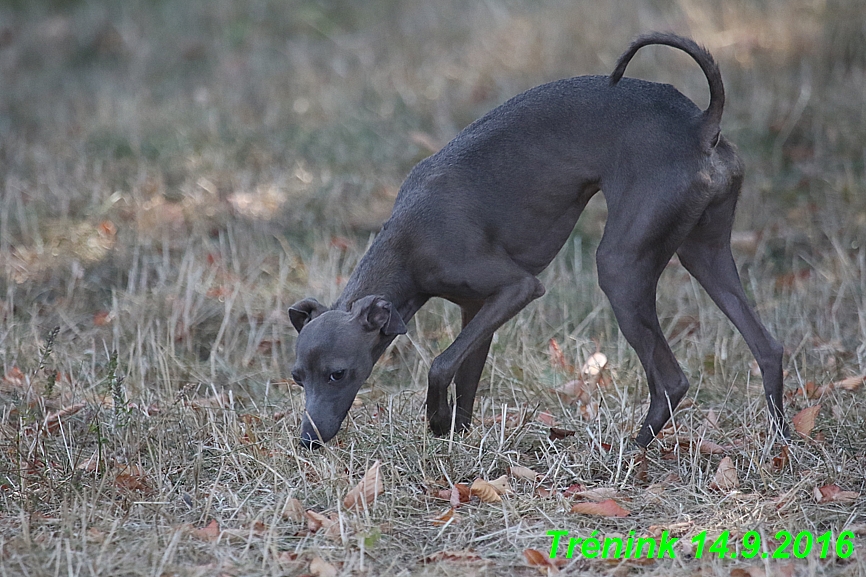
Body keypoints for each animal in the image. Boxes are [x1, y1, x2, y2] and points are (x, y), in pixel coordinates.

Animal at [286, 31, 788, 448]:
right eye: (297, 377)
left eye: (338, 374)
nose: (308, 440)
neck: (407, 241)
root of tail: (700, 123)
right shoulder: (478, 308)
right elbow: (466, 376)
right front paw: (458, 442)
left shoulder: (518, 288)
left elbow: (441, 363)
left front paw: (436, 422)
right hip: (703, 252)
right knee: (768, 348)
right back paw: (781, 440)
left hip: (621, 267)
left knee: (673, 380)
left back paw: (631, 450)